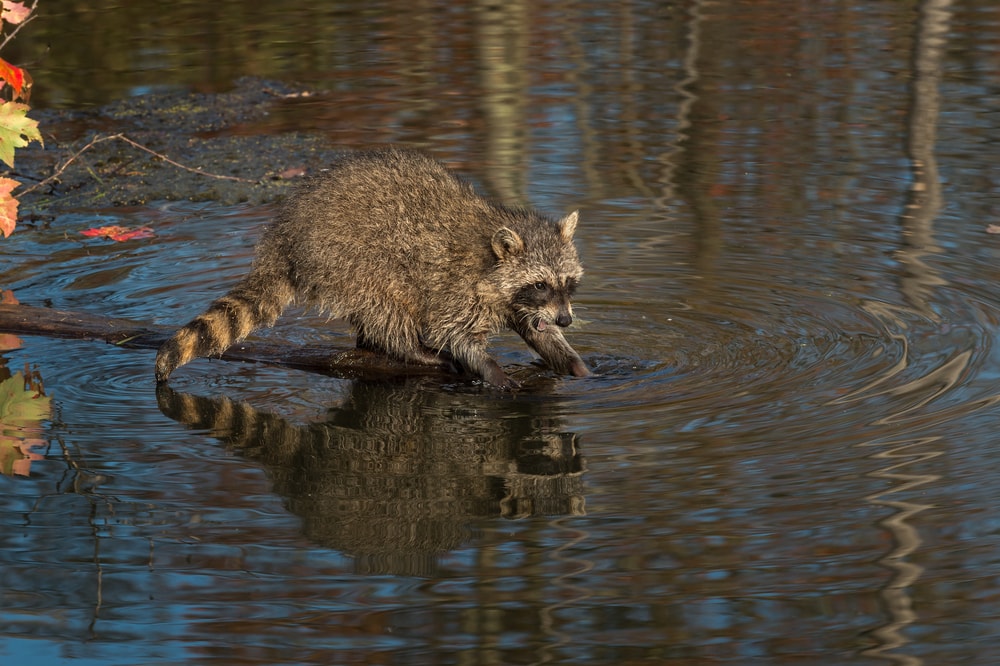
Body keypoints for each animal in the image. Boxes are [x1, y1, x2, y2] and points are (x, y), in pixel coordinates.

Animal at [154, 148, 590, 389]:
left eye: (568, 283)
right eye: (540, 284)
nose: (567, 320)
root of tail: (284, 235)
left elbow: (537, 331)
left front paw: (572, 361)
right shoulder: (457, 285)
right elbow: (454, 333)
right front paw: (490, 369)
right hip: (348, 259)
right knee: (384, 306)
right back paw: (408, 350)